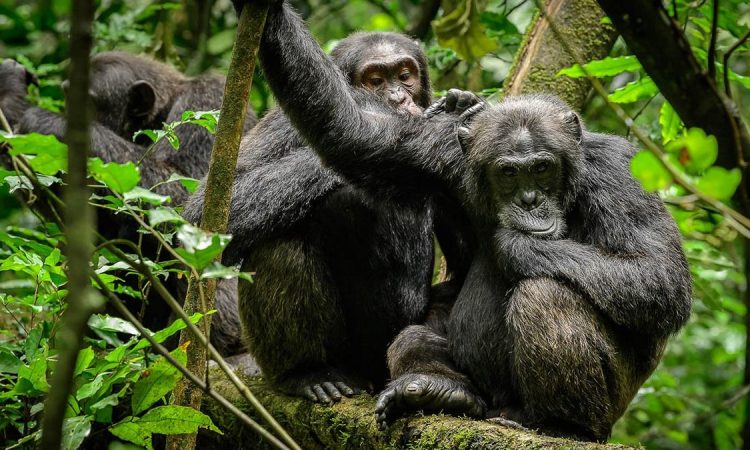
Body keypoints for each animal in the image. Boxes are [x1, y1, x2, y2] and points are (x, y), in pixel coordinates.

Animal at [243, 0, 692, 441]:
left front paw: (517, 244)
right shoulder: (443, 153)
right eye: (508, 172)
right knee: (410, 336)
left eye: (542, 168)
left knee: (546, 295)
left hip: (609, 407)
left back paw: (564, 425)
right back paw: (432, 389)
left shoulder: (622, 175)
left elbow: (657, 276)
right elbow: (354, 132)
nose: (530, 201)